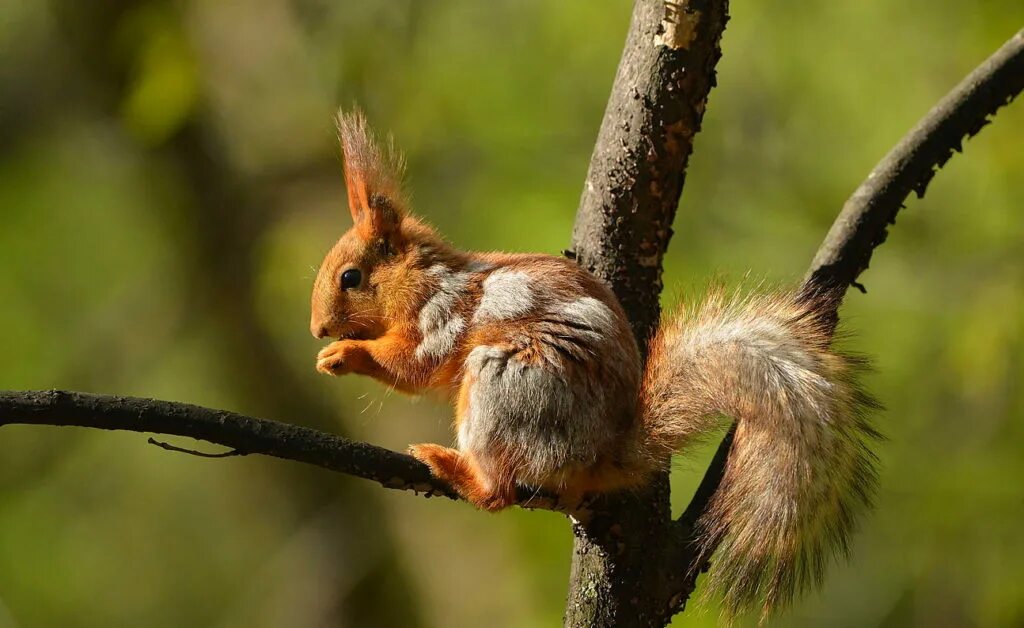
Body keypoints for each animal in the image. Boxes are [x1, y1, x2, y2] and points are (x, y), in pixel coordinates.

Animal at [307, 109, 876, 618]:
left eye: (351, 277)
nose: (317, 329)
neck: (426, 277)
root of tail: (601, 453)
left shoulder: (442, 317)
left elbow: (414, 365)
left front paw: (345, 354)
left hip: (505, 387)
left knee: (498, 493)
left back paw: (454, 467)